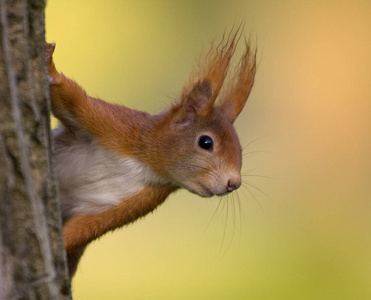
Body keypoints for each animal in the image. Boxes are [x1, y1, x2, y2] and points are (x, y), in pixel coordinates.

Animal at [45, 29, 256, 278]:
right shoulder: (114, 126)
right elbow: (72, 100)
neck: (144, 163)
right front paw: (49, 66)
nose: (234, 183)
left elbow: (84, 229)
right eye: (206, 142)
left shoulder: (138, 200)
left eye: (240, 149)